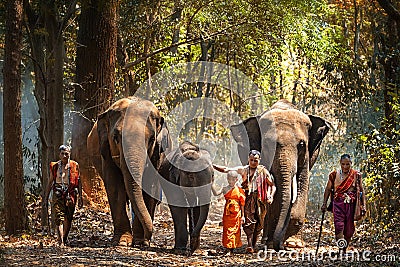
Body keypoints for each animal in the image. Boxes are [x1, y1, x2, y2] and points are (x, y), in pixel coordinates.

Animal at [86, 96, 170, 247]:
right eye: (115, 137)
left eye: (152, 139)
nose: (148, 239)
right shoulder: (106, 152)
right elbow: (114, 185)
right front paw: (122, 241)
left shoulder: (157, 154)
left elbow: (149, 186)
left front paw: (140, 241)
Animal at [230, 99, 330, 252]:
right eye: (267, 144)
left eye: (301, 144)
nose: (280, 246)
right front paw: (272, 243)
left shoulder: (307, 156)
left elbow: (302, 181)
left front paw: (293, 244)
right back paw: (266, 240)